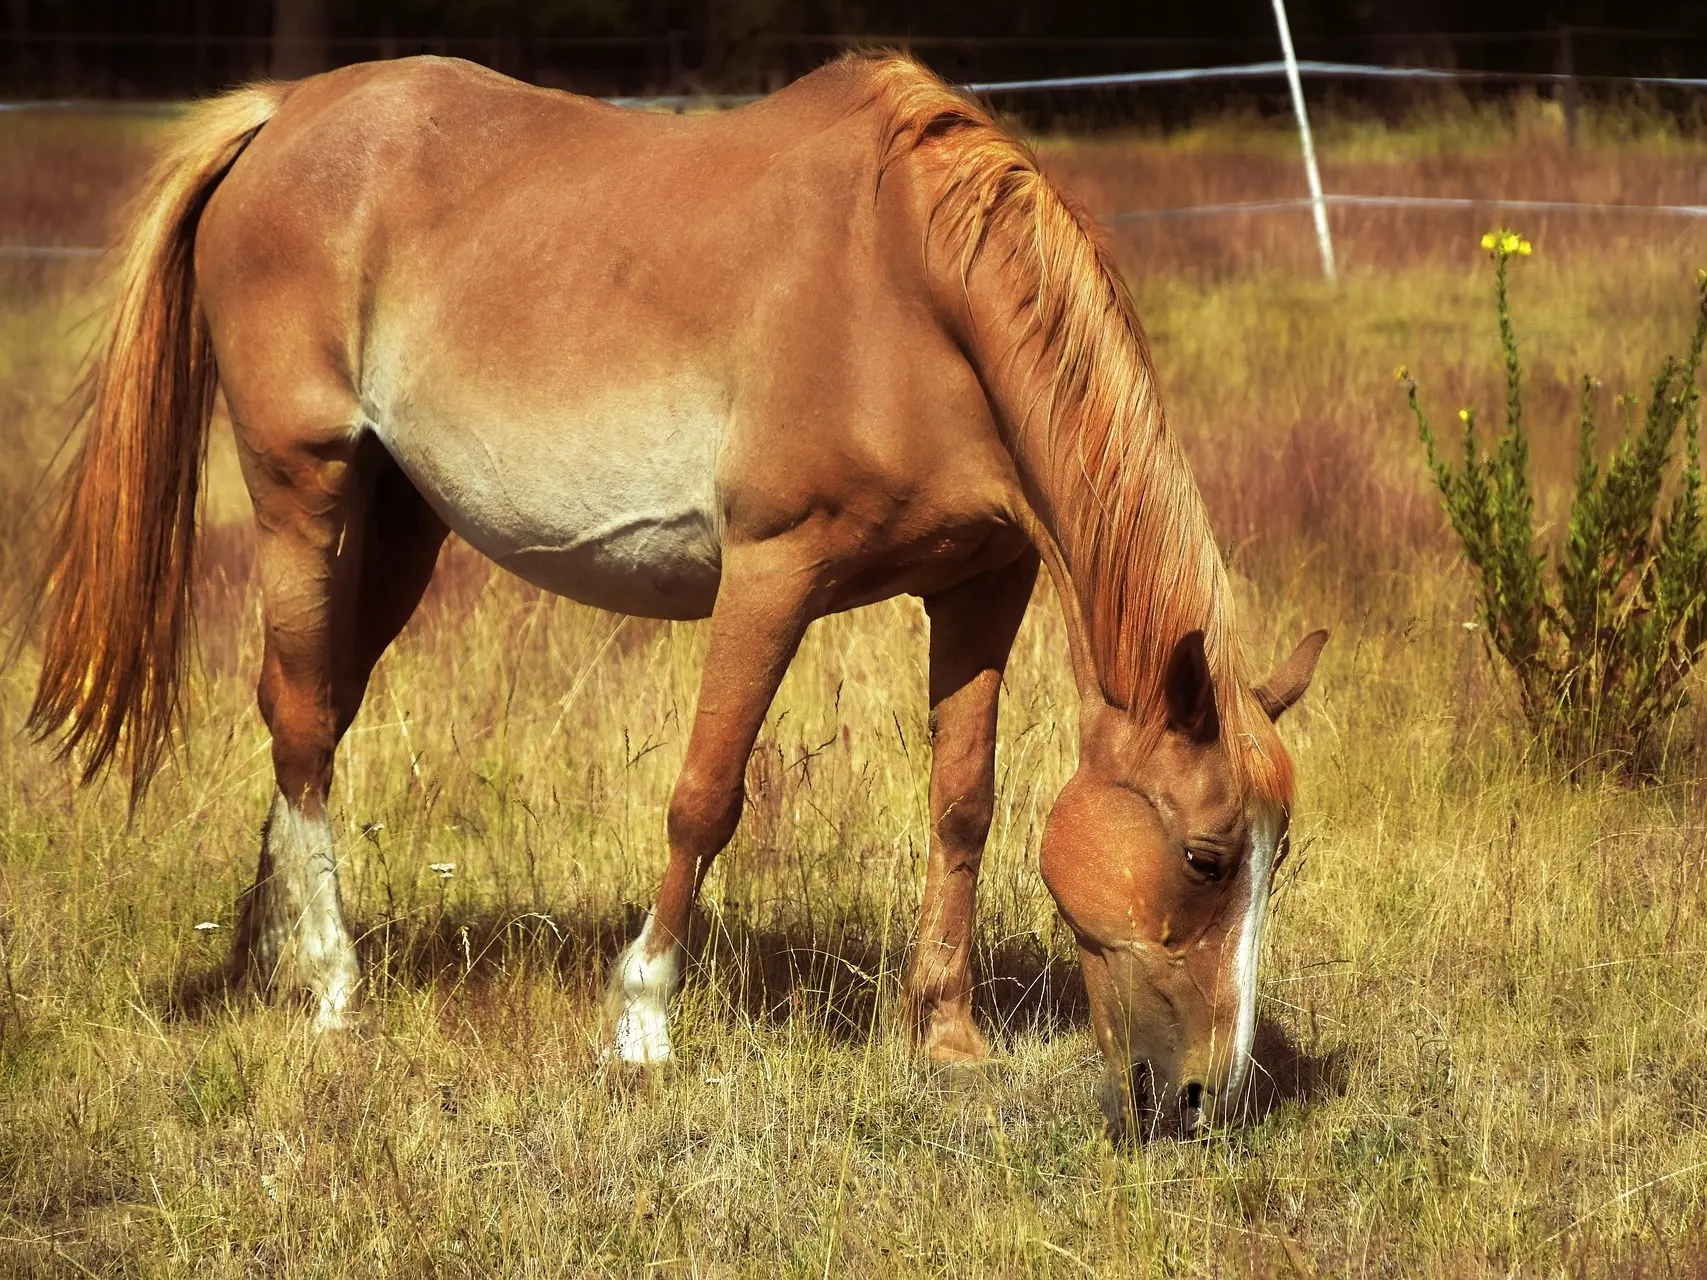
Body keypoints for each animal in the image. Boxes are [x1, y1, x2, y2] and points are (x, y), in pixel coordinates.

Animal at [30, 50, 1331, 1140]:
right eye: (1208, 856)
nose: (1209, 1096)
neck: (908, 289)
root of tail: (287, 110)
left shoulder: (980, 585)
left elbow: (964, 803)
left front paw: (949, 1035)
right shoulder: (772, 570)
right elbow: (705, 799)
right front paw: (643, 1019)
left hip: (394, 523)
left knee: (309, 710)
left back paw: (275, 954)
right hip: (304, 491)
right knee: (303, 718)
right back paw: (339, 988)